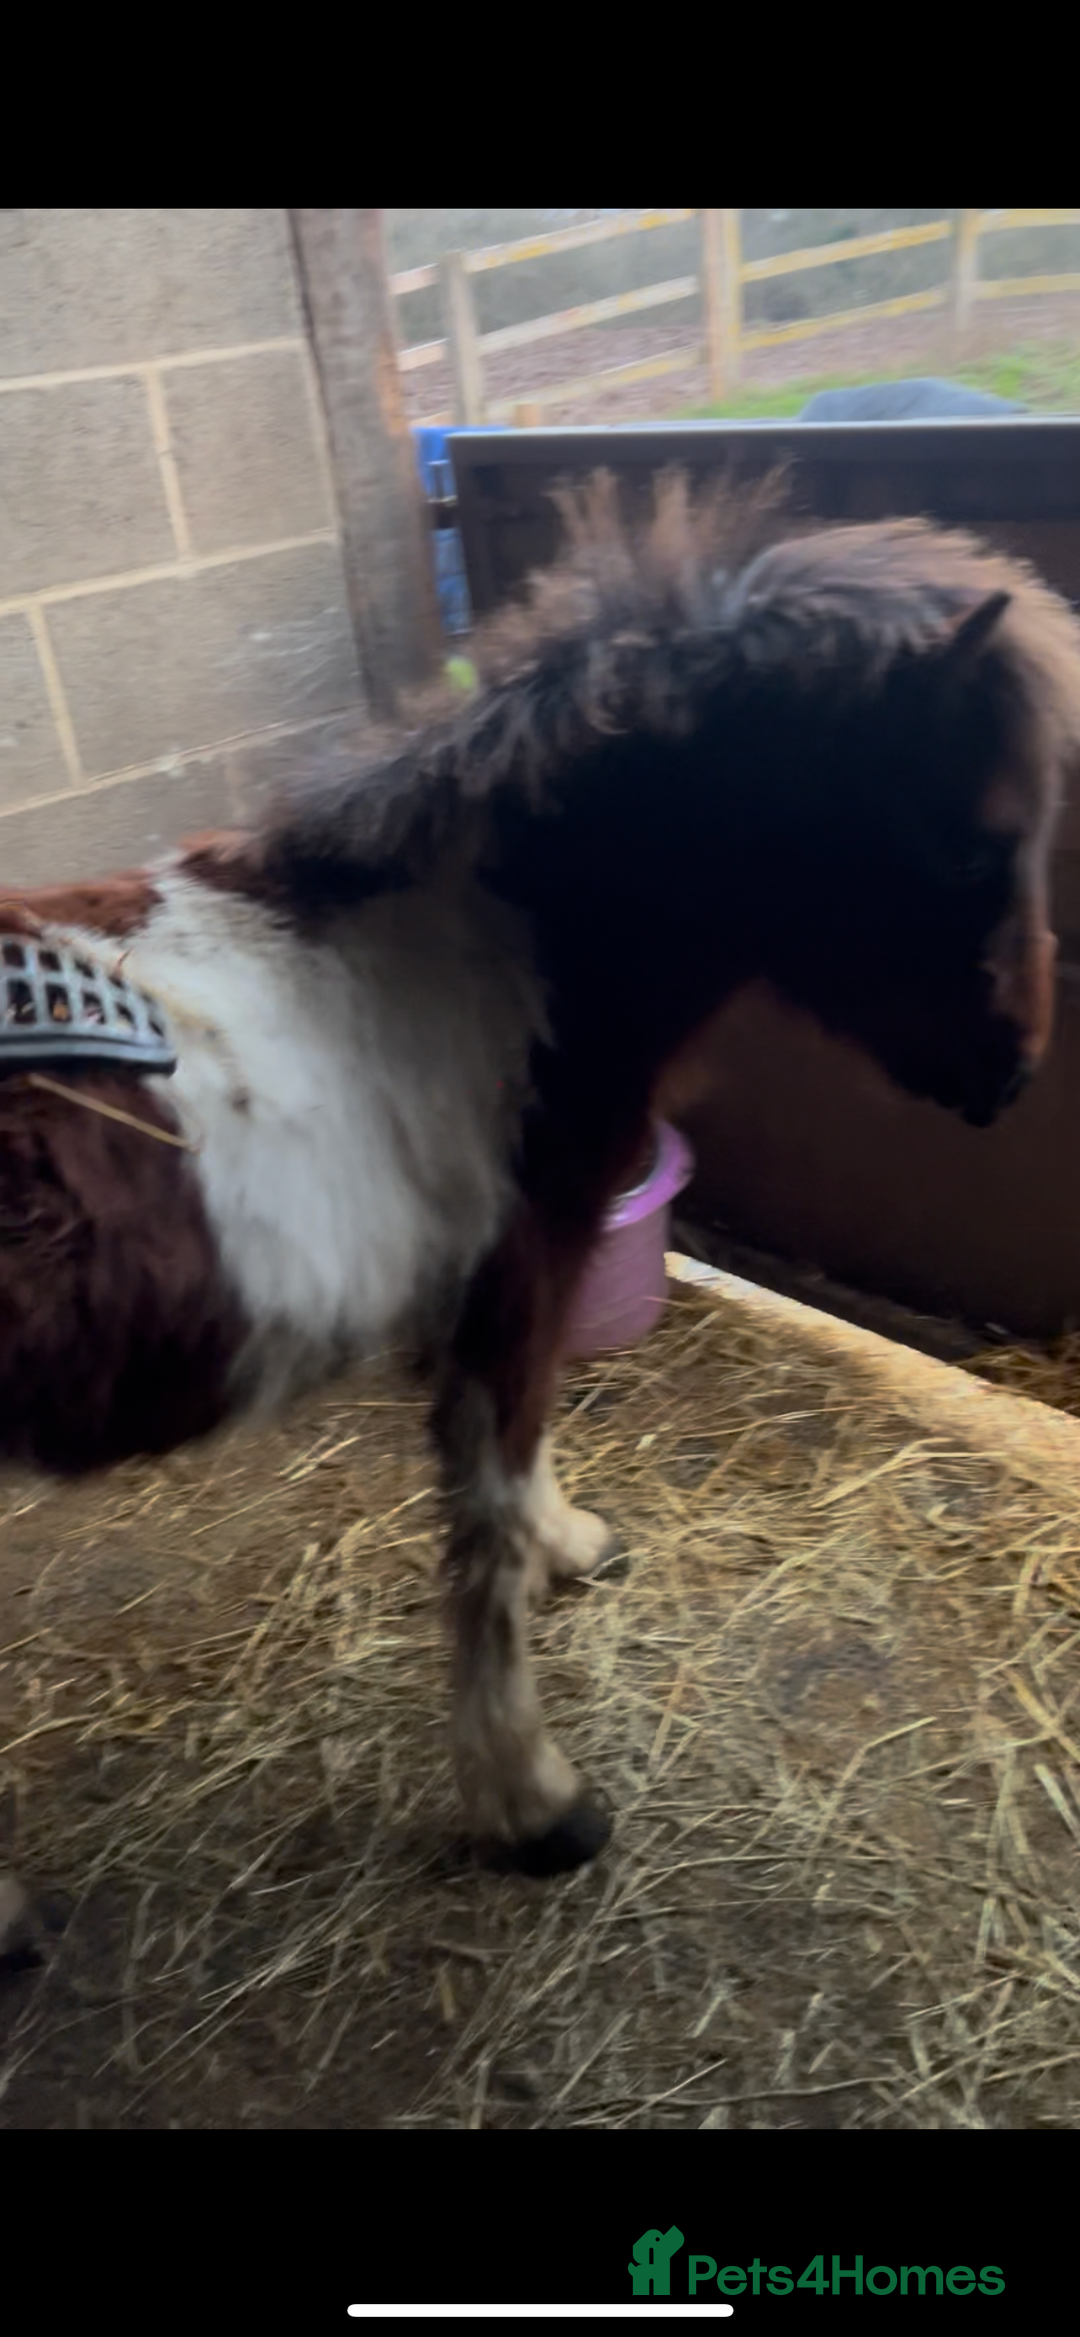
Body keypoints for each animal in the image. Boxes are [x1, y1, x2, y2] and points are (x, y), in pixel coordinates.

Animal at [1, 473, 1078, 1876]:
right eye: (972, 844)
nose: (1010, 1074)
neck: (491, 945)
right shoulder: (512, 1276)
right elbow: (489, 1512)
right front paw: (531, 1800)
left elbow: (517, 1478)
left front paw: (573, 1552)